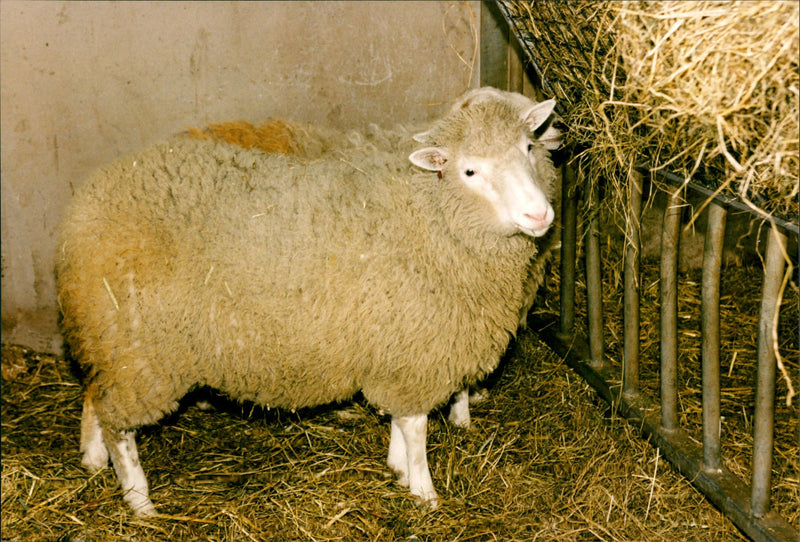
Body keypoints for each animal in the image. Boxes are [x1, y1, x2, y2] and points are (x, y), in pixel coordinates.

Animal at [56, 88, 560, 516]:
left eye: (527, 148)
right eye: (470, 170)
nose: (539, 214)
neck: (427, 211)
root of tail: (85, 206)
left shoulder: (396, 348)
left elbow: (401, 421)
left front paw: (398, 469)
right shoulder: (415, 350)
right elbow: (416, 429)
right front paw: (424, 493)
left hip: (109, 337)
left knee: (94, 394)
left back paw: (92, 459)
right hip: (140, 348)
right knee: (120, 427)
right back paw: (139, 501)